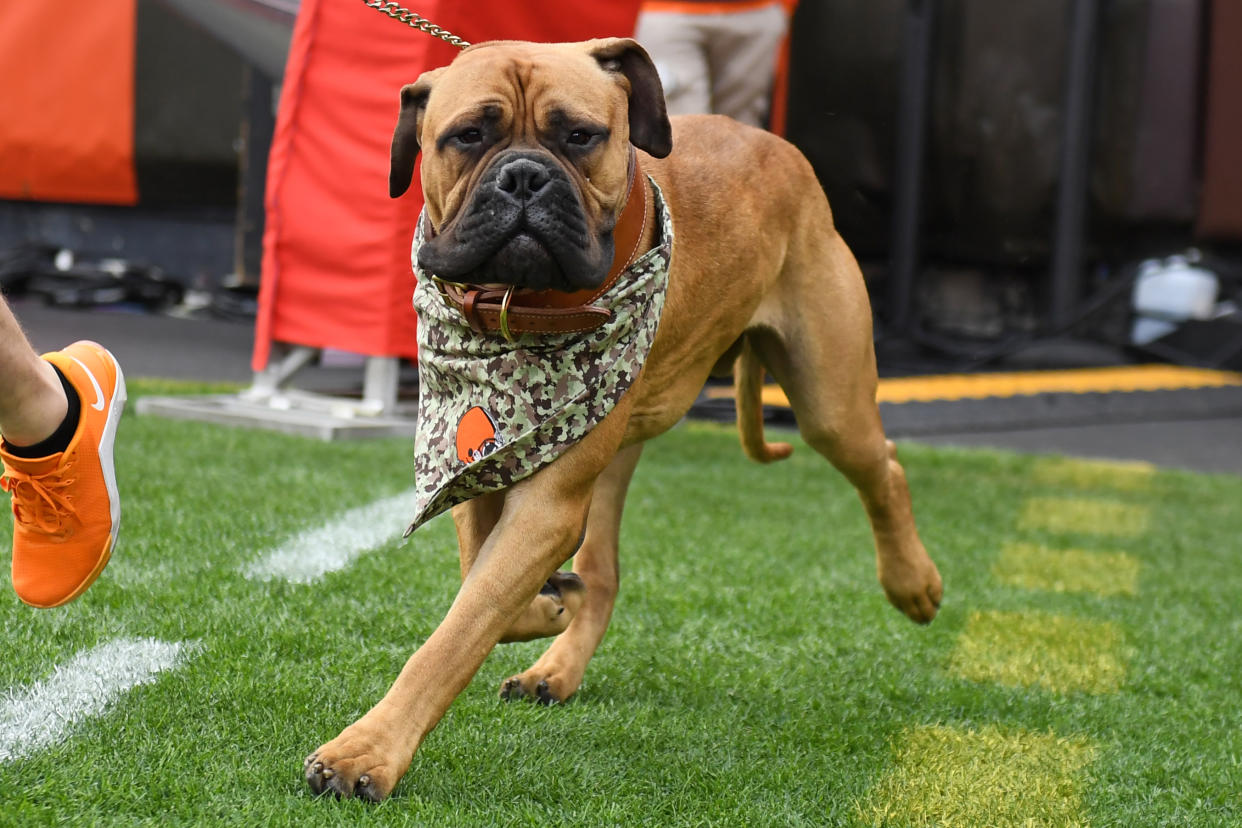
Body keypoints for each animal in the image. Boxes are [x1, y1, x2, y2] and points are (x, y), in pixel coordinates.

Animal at [303, 37, 938, 804]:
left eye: (580, 136)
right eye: (469, 136)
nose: (523, 177)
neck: (521, 310)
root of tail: (778, 147)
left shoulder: (545, 504)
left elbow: (456, 633)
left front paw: (364, 754)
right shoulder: (479, 461)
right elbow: (479, 580)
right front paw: (546, 606)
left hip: (829, 401)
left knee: (884, 468)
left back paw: (913, 583)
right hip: (618, 447)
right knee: (603, 573)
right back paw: (557, 664)